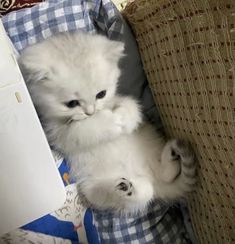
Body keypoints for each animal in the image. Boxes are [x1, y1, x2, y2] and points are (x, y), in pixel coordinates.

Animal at [19, 31, 196, 212]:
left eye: (101, 94)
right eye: (72, 103)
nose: (90, 112)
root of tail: (148, 176)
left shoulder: (117, 100)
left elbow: (131, 105)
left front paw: (123, 118)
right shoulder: (58, 133)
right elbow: (82, 129)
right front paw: (110, 122)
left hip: (150, 141)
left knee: (164, 176)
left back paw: (170, 158)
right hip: (93, 188)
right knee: (142, 193)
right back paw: (126, 189)